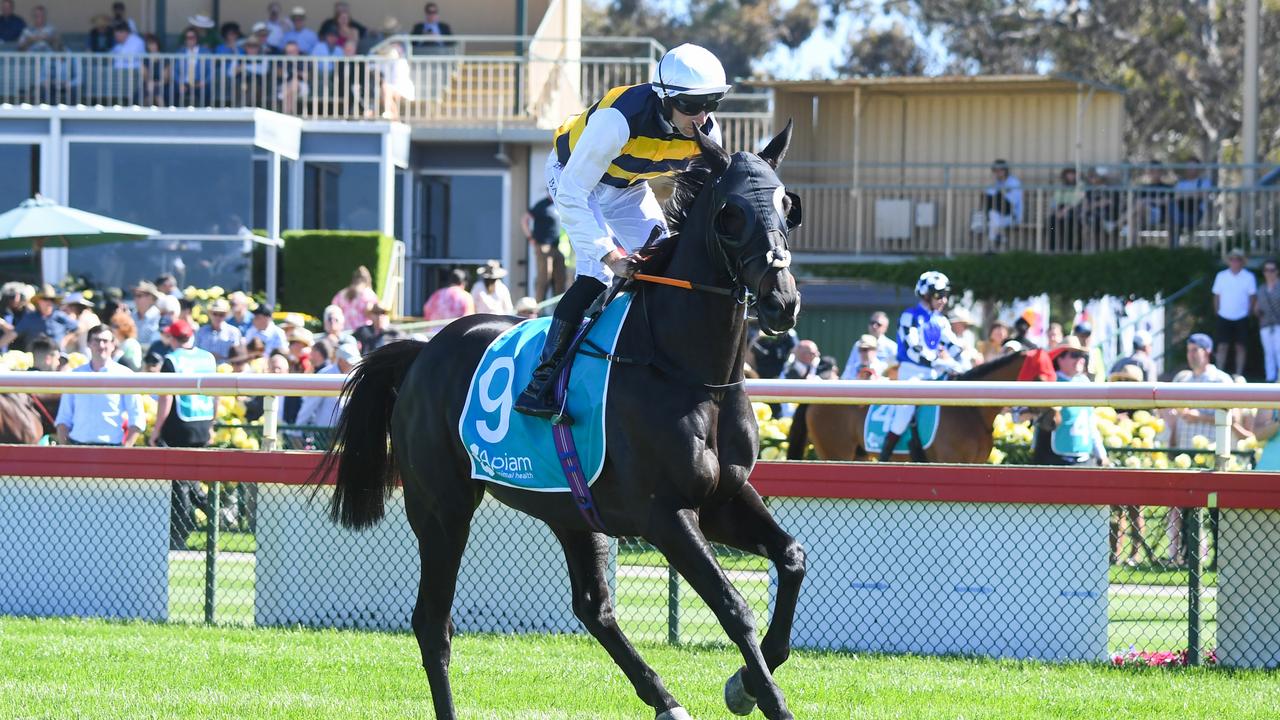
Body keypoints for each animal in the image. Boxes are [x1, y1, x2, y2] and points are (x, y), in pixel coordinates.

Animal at [320, 126, 798, 712]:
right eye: (731, 212)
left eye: (787, 205)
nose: (781, 302)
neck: (685, 369)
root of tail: (422, 351)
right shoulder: (665, 514)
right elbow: (734, 607)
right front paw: (765, 696)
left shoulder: (721, 498)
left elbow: (792, 558)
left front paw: (745, 681)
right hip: (442, 507)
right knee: (433, 623)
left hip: (569, 505)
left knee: (594, 606)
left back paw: (665, 700)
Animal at [788, 351, 1049, 461]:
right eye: (1039, 377)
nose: (1052, 419)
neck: (970, 410)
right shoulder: (949, 461)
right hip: (836, 451)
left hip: (859, 455)